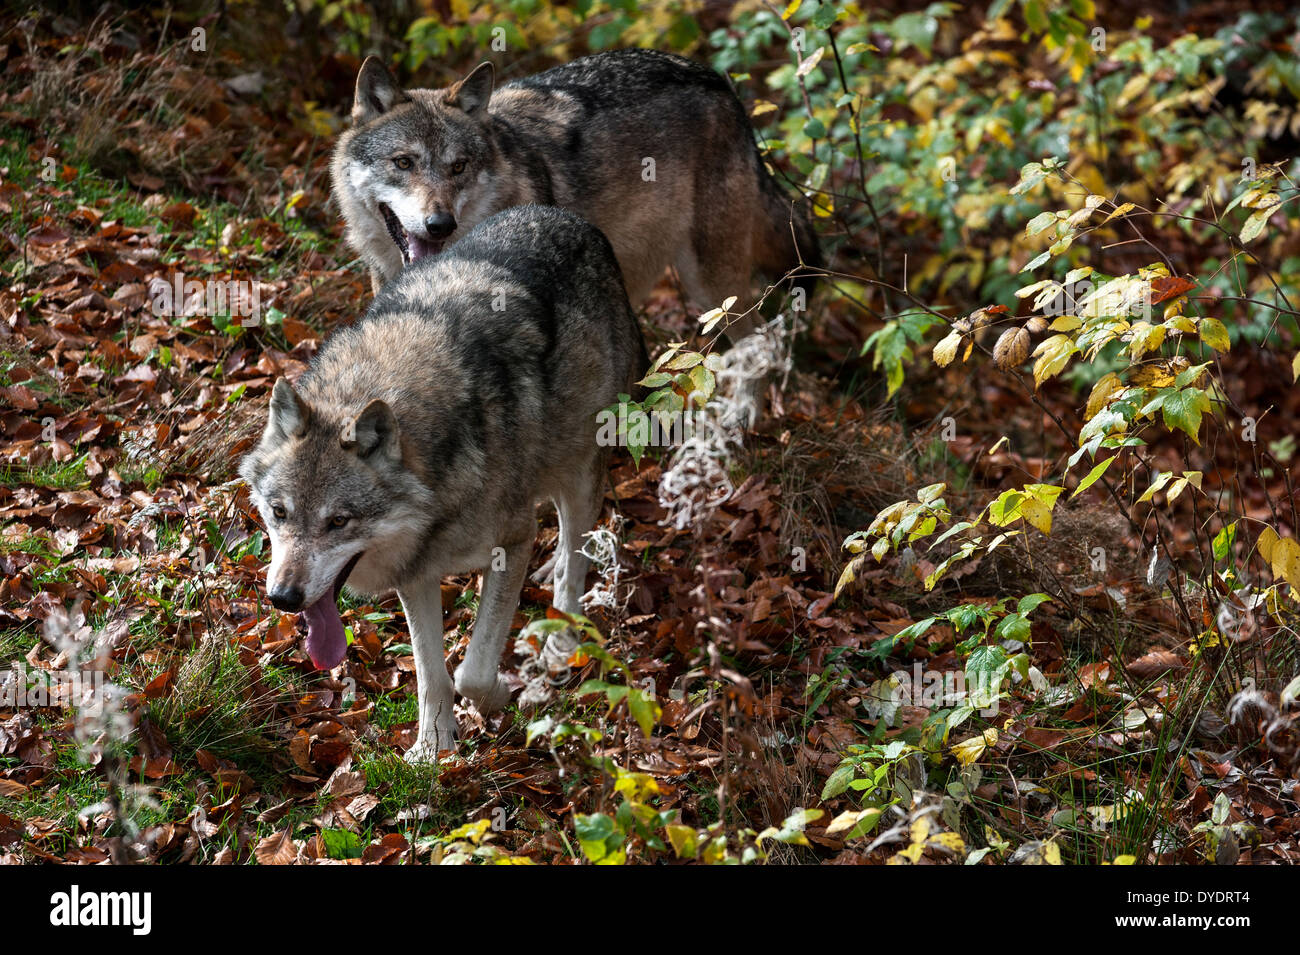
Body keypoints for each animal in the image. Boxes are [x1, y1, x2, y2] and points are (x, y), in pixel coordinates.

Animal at [237, 205, 644, 764]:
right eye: (279, 512)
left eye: (338, 521)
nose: (282, 598)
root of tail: (562, 214)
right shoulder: (415, 572)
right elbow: (432, 675)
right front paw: (433, 749)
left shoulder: (510, 543)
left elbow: (472, 671)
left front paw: (500, 695)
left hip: (580, 467)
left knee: (573, 554)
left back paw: (562, 636)